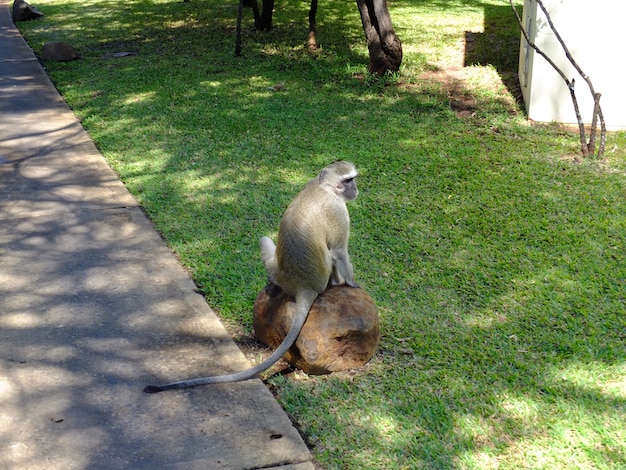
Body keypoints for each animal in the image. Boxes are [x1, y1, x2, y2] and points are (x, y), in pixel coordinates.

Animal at [141, 162, 356, 392]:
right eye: (347, 180)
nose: (355, 189)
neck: (322, 187)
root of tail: (302, 287)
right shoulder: (337, 210)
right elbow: (339, 251)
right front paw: (353, 284)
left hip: (278, 271)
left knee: (264, 240)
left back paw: (272, 282)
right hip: (320, 280)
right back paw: (337, 283)